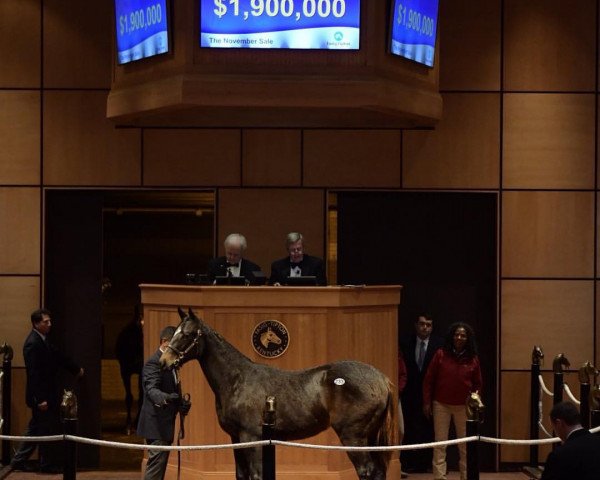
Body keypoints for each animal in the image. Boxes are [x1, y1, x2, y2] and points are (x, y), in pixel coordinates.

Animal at [159, 308, 398, 480]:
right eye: (175, 333)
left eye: (187, 334)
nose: (164, 361)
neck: (237, 380)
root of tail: (381, 378)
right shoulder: (236, 438)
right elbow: (241, 475)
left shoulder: (251, 438)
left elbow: (256, 475)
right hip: (370, 438)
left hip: (353, 437)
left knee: (367, 471)